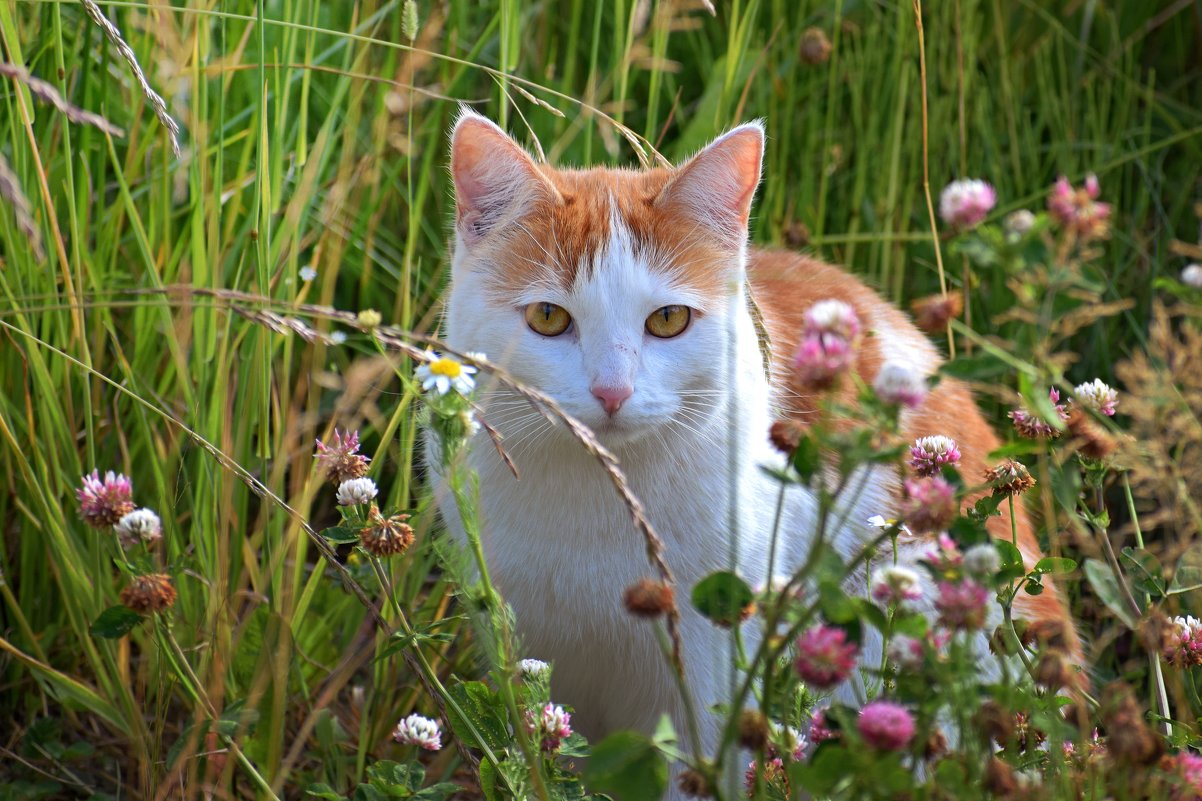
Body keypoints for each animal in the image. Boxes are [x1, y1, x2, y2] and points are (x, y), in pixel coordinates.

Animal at [435, 109, 1081, 788]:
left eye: (668, 320)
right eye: (547, 318)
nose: (613, 391)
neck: (597, 496)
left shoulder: (710, 672)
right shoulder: (536, 654)